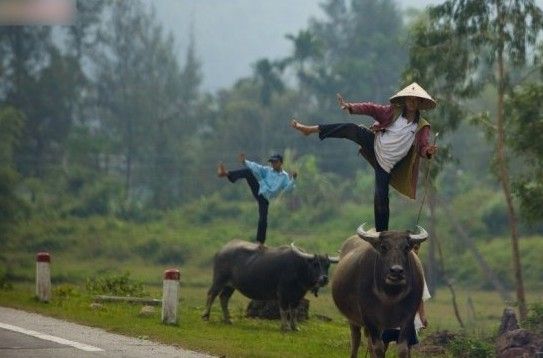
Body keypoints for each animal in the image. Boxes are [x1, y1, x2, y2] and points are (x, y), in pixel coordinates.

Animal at [202, 239, 338, 332]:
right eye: (315, 264)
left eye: (327, 265)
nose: (324, 279)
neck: (299, 268)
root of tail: (221, 250)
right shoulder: (282, 293)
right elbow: (284, 310)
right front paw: (285, 327)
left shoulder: (298, 296)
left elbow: (294, 311)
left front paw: (295, 327)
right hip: (219, 280)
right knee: (211, 294)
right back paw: (206, 316)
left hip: (230, 286)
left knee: (223, 298)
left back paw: (228, 320)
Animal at [332, 225, 430, 356]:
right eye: (383, 247)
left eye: (406, 247)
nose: (396, 271)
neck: (390, 295)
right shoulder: (370, 318)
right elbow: (378, 348)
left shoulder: (408, 318)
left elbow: (402, 349)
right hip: (353, 320)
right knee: (356, 340)